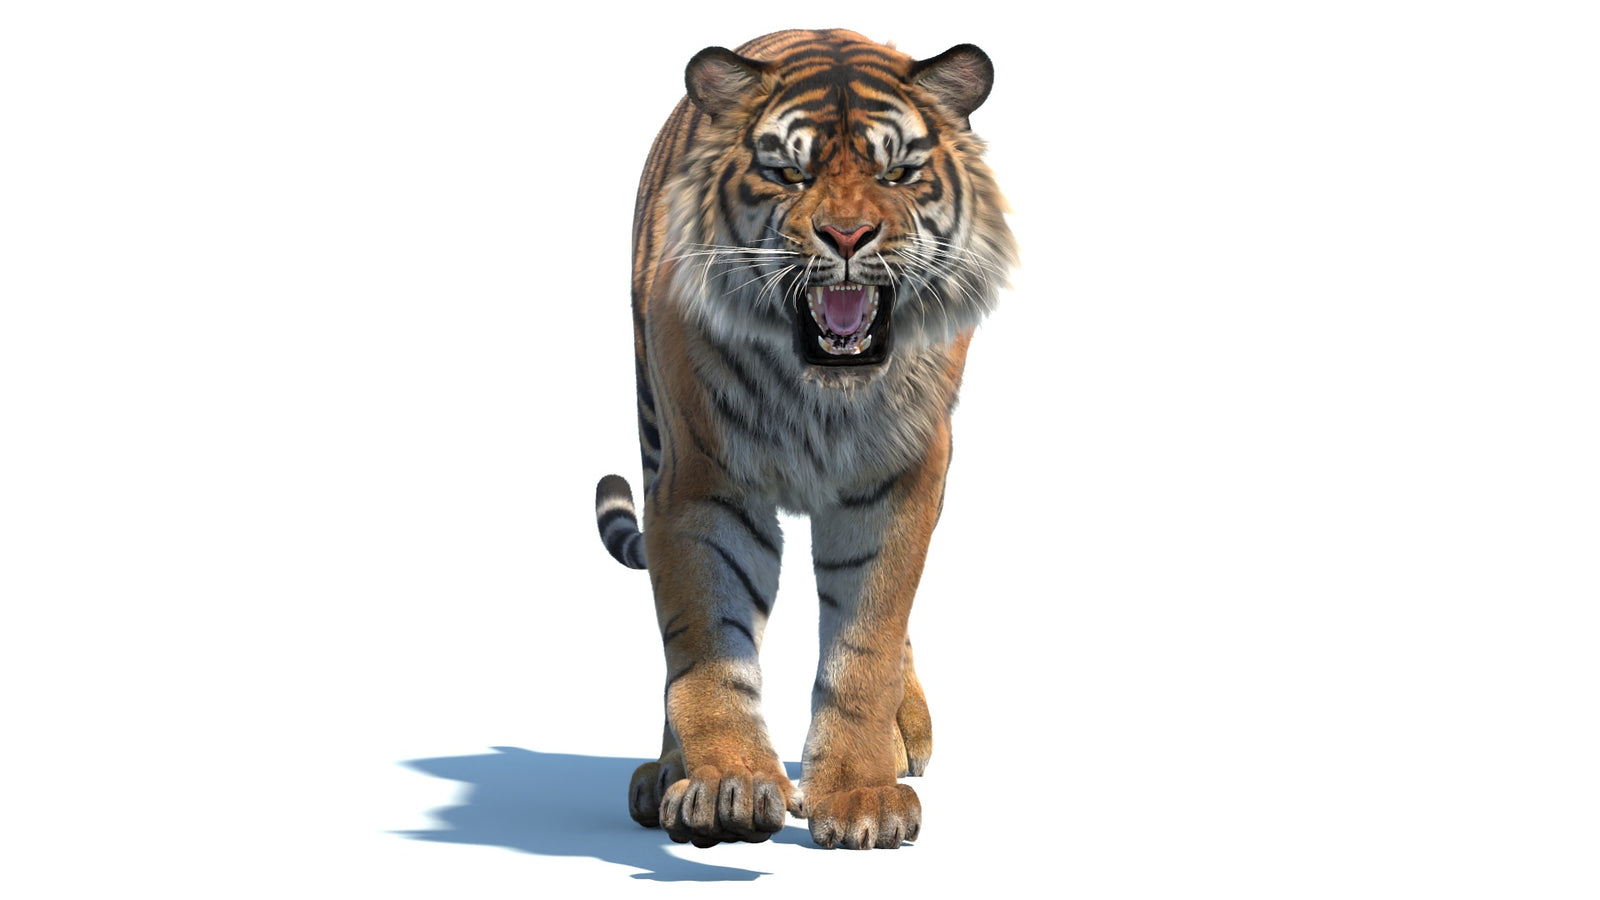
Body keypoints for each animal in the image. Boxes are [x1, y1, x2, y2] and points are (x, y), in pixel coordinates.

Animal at [593, 28, 1017, 850]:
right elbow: (708, 645)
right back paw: (665, 772)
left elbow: (867, 642)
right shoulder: (700, 486)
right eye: (789, 173)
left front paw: (861, 797)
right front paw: (722, 785)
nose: (848, 236)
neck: (822, 393)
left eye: (897, 172)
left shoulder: (902, 478)